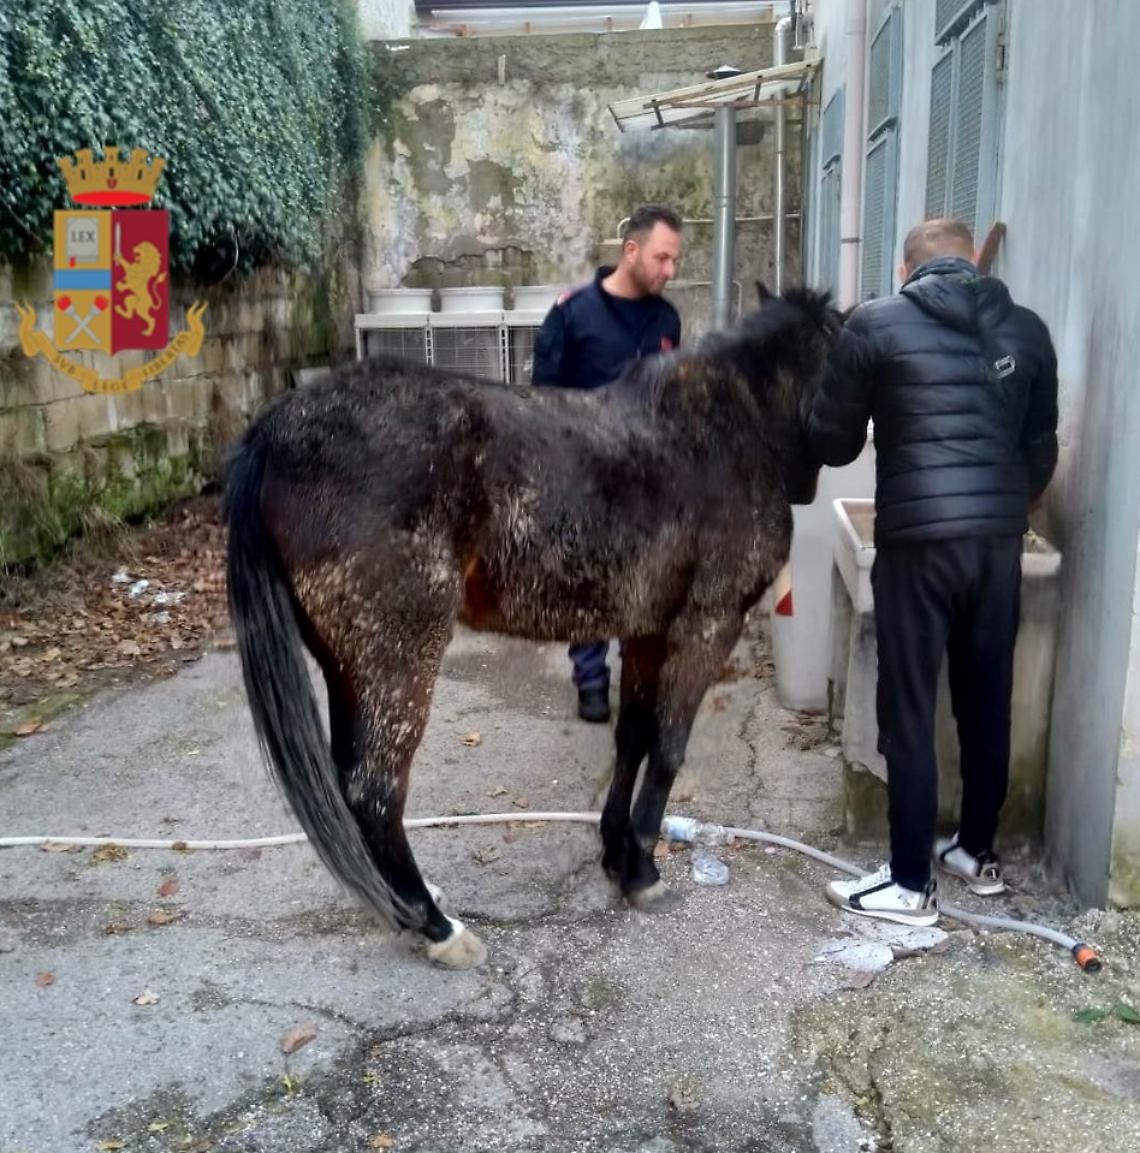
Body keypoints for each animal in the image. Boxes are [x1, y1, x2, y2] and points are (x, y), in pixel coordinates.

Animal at [223, 285, 843, 969]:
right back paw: (438, 928)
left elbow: (632, 739)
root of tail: (274, 431)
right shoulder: (707, 627)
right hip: (397, 658)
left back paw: (407, 908)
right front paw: (643, 872)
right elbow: (668, 749)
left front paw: (615, 854)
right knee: (373, 791)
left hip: (345, 665)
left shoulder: (646, 632)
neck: (727, 430)